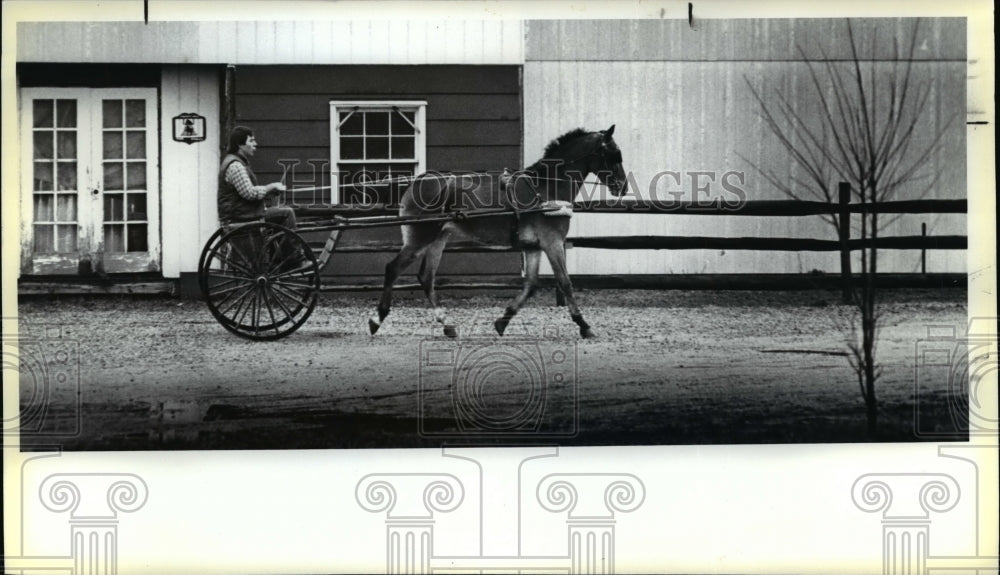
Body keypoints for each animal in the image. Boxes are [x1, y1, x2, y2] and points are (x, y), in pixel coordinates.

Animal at [372, 125, 628, 340]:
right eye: (614, 153)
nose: (623, 187)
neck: (545, 188)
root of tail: (415, 183)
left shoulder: (533, 247)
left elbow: (531, 285)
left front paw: (502, 322)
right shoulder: (552, 242)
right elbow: (565, 282)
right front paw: (584, 325)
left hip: (438, 239)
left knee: (426, 278)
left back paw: (448, 326)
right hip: (420, 237)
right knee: (393, 269)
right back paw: (376, 319)